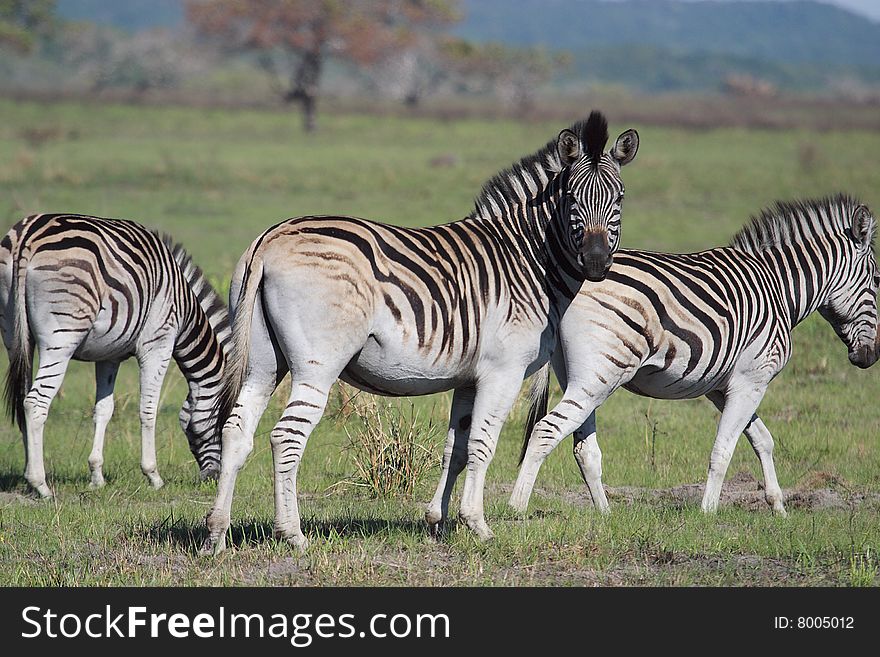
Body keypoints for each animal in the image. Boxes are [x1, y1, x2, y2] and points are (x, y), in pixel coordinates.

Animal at [0, 213, 230, 494]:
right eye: (223, 423)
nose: (213, 478)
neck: (184, 309)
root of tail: (29, 235)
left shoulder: (108, 356)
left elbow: (104, 409)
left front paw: (96, 476)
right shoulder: (158, 343)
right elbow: (148, 409)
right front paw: (153, 475)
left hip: (14, 334)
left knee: (22, 399)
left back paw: (29, 477)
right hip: (62, 337)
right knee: (35, 403)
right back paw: (40, 484)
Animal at [199, 110, 640, 552]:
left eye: (619, 199)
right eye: (572, 199)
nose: (597, 263)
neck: (530, 260)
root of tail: (270, 239)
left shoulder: (468, 378)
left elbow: (455, 449)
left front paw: (437, 522)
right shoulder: (503, 371)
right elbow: (483, 445)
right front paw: (478, 525)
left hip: (263, 361)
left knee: (236, 430)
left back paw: (217, 534)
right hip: (316, 364)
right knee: (286, 437)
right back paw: (292, 535)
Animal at [512, 195, 876, 516]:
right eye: (877, 280)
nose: (870, 358)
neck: (778, 288)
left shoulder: (722, 387)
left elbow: (763, 439)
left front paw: (778, 506)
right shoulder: (752, 379)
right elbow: (724, 449)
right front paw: (708, 512)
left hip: (578, 376)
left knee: (584, 448)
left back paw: (605, 514)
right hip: (601, 373)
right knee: (546, 431)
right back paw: (516, 507)